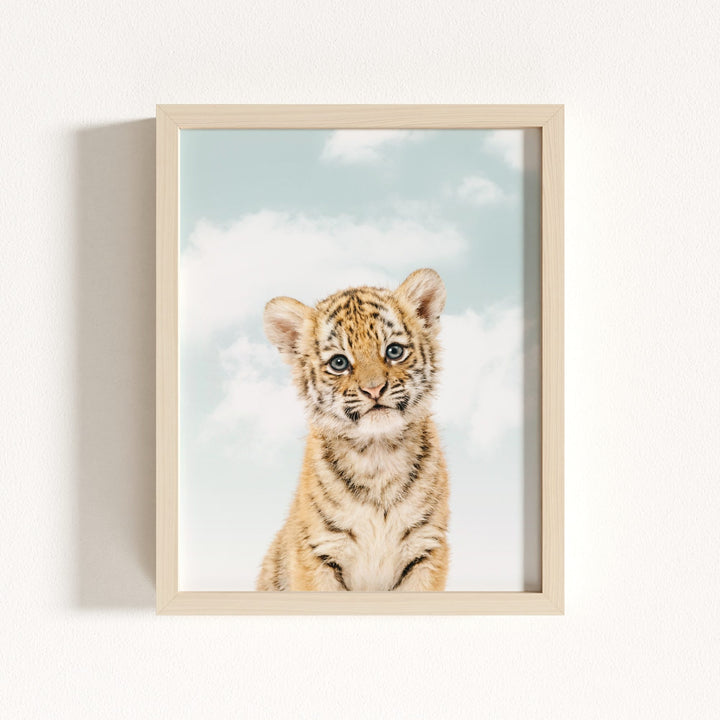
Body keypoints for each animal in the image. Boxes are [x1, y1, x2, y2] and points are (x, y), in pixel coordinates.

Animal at [256, 268, 450, 592]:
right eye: (339, 362)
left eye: (394, 351)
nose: (374, 389)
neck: (378, 454)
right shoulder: (318, 552)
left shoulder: (427, 548)